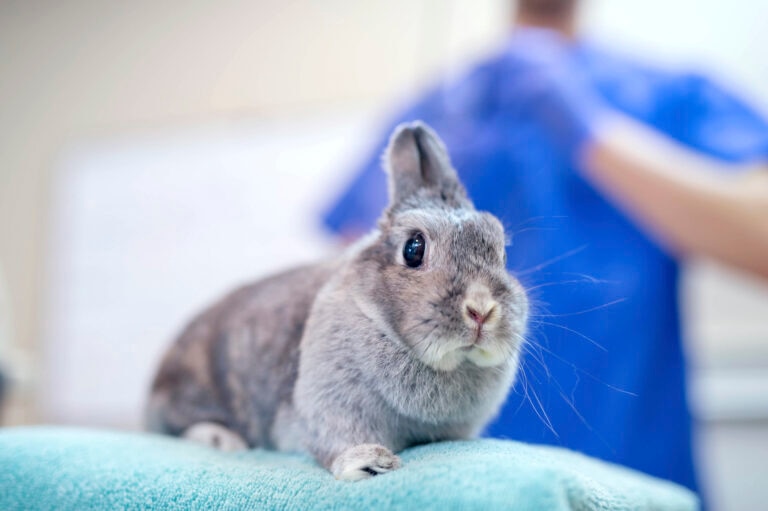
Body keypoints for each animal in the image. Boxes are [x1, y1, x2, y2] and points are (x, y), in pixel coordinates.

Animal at [146, 121, 529, 481]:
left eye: (503, 254)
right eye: (414, 249)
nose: (481, 311)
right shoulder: (331, 403)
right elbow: (337, 439)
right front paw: (370, 462)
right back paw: (222, 439)